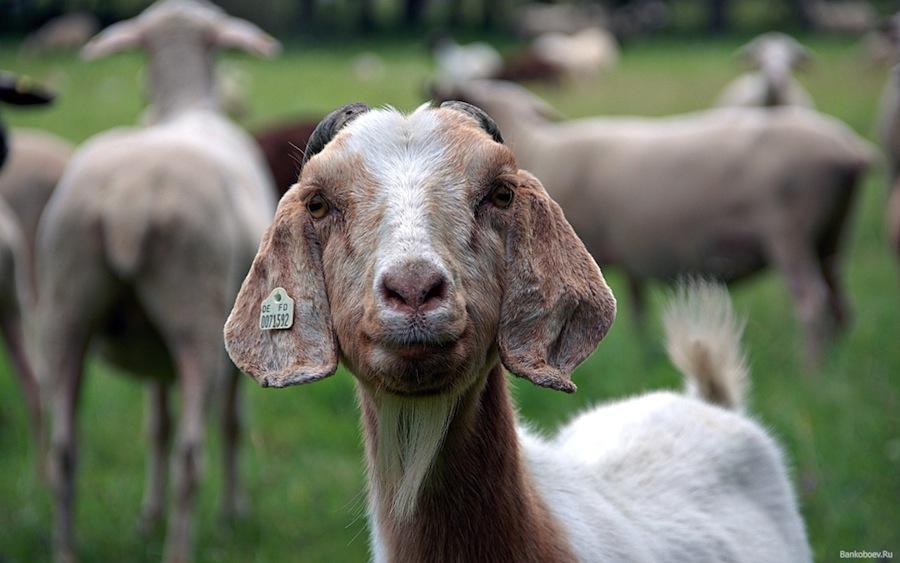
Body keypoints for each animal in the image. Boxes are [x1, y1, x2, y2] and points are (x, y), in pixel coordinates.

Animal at [30, 2, 278, 560]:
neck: (184, 104)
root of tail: (127, 201)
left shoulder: (152, 351)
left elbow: (156, 426)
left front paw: (148, 515)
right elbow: (230, 424)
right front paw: (232, 512)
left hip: (64, 309)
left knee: (63, 450)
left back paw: (65, 549)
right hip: (196, 318)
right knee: (192, 452)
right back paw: (181, 547)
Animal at [442, 79, 880, 364]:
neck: (539, 144)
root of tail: (852, 151)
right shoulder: (625, 250)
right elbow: (634, 306)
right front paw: (643, 354)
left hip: (789, 232)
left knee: (813, 303)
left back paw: (813, 372)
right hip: (832, 237)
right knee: (841, 305)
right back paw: (836, 368)